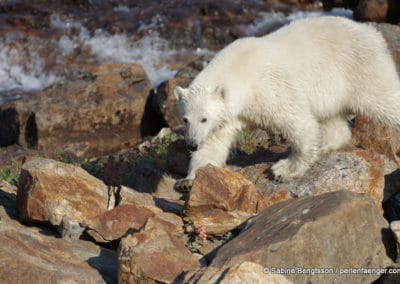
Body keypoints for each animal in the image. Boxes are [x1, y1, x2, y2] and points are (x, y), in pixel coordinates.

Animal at [175, 16, 400, 192]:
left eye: (204, 118)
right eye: (185, 119)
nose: (191, 144)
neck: (240, 69)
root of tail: (372, 32)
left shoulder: (270, 88)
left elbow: (297, 122)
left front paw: (284, 170)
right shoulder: (231, 115)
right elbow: (214, 143)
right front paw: (188, 180)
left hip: (362, 69)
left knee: (385, 100)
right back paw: (325, 144)